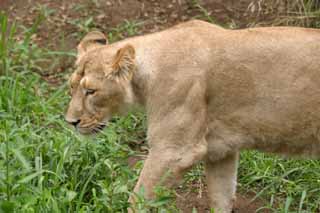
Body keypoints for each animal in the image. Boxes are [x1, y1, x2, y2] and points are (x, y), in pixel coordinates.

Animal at [64, 19, 320, 211]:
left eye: (91, 91)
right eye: (71, 87)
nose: (70, 122)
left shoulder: (175, 151)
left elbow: (137, 199)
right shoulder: (221, 152)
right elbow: (221, 198)